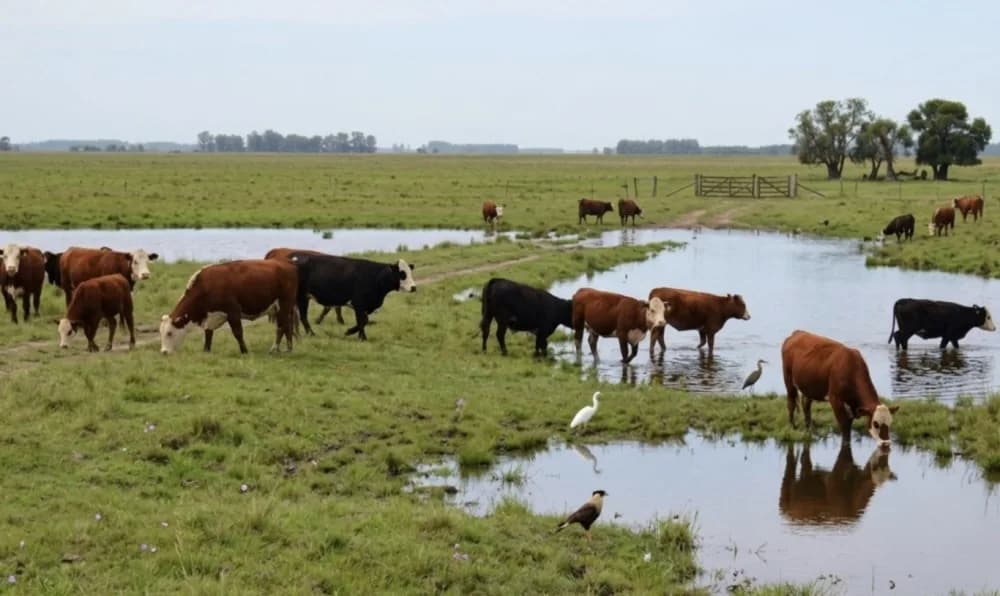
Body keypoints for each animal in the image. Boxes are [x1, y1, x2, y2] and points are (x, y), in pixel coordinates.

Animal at [159, 259, 298, 354]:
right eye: (161, 332)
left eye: (169, 333)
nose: (164, 352)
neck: (206, 286)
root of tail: (287, 264)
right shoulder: (211, 316)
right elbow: (208, 333)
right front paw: (206, 350)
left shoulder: (233, 312)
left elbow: (238, 333)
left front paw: (244, 351)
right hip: (278, 308)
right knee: (285, 326)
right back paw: (285, 348)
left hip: (284, 305)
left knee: (283, 326)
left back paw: (279, 348)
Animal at [287, 253, 416, 340]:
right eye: (402, 274)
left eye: (410, 272)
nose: (413, 287)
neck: (375, 277)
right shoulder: (359, 303)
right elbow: (362, 320)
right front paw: (361, 337)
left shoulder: (365, 306)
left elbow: (364, 320)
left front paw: (352, 333)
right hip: (301, 296)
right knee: (303, 316)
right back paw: (311, 333)